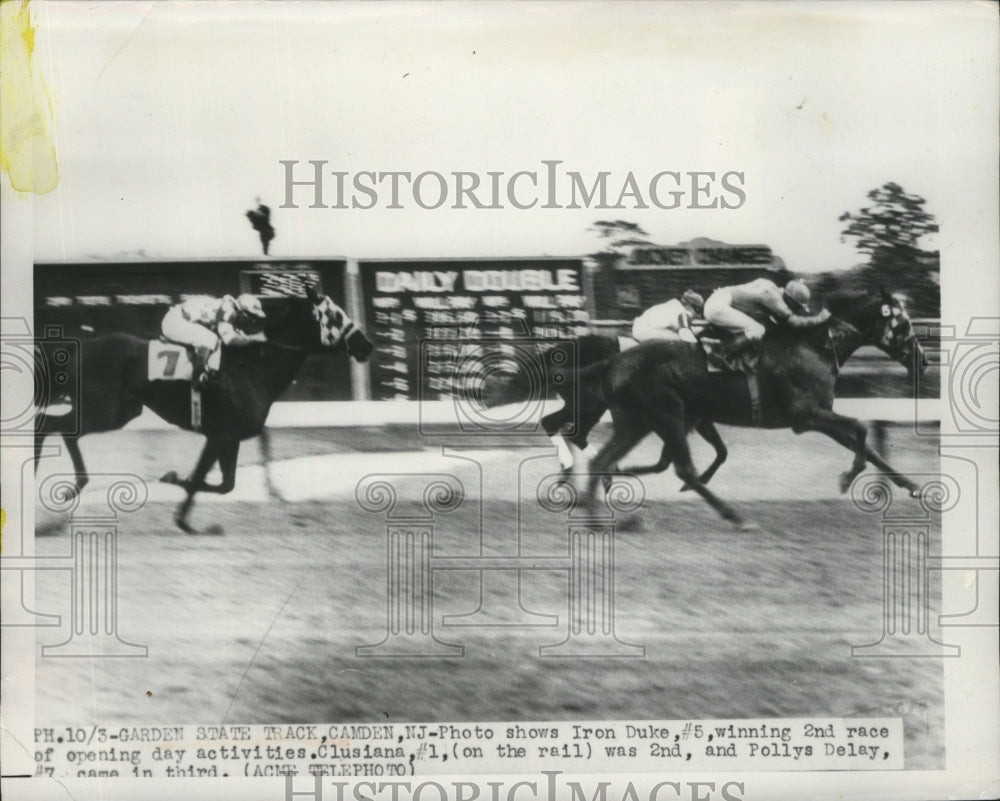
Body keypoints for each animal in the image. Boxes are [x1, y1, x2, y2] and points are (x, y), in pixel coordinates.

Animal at [35, 290, 374, 532]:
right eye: (335, 315)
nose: (367, 345)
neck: (254, 369)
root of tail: (81, 349)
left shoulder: (224, 438)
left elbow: (222, 484)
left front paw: (183, 517)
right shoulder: (223, 435)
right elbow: (205, 480)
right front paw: (174, 482)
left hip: (120, 412)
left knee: (60, 429)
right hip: (101, 408)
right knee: (49, 424)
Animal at [584, 288, 924, 524]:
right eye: (904, 322)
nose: (923, 360)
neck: (813, 346)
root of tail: (614, 362)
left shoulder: (821, 416)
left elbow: (869, 448)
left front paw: (912, 485)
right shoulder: (806, 416)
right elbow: (861, 428)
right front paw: (846, 477)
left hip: (637, 422)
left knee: (606, 460)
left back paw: (604, 502)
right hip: (666, 416)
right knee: (682, 469)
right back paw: (735, 517)